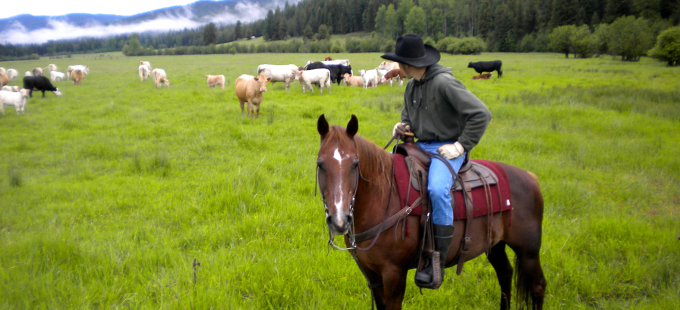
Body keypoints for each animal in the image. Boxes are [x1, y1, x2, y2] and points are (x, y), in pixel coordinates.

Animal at [314, 115, 548, 310]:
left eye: (355, 164)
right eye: (320, 164)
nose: (339, 220)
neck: (382, 197)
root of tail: (531, 178)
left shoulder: (394, 274)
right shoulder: (372, 274)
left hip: (528, 250)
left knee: (537, 286)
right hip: (495, 245)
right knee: (505, 274)